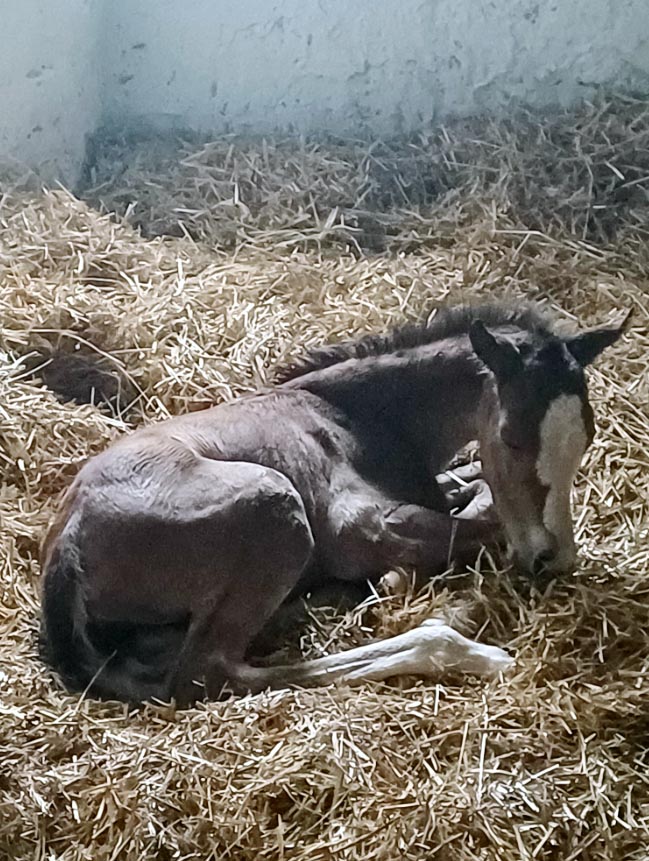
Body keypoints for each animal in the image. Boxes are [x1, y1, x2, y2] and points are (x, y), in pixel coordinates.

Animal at [39, 300, 629, 706]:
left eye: (588, 435)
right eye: (511, 438)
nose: (553, 559)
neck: (353, 414)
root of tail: (65, 551)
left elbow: (470, 490)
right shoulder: (362, 527)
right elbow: (483, 519)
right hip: (274, 501)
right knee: (210, 672)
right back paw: (460, 647)